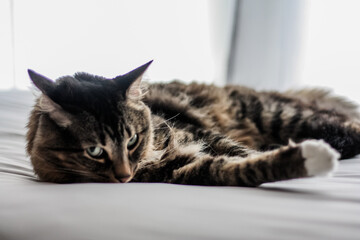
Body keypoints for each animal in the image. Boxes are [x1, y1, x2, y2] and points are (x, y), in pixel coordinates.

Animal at [26, 61, 360, 186]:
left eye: (133, 140)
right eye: (95, 151)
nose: (124, 175)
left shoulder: (203, 134)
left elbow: (239, 151)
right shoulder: (183, 169)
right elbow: (238, 168)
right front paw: (305, 158)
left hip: (275, 115)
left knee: (347, 129)